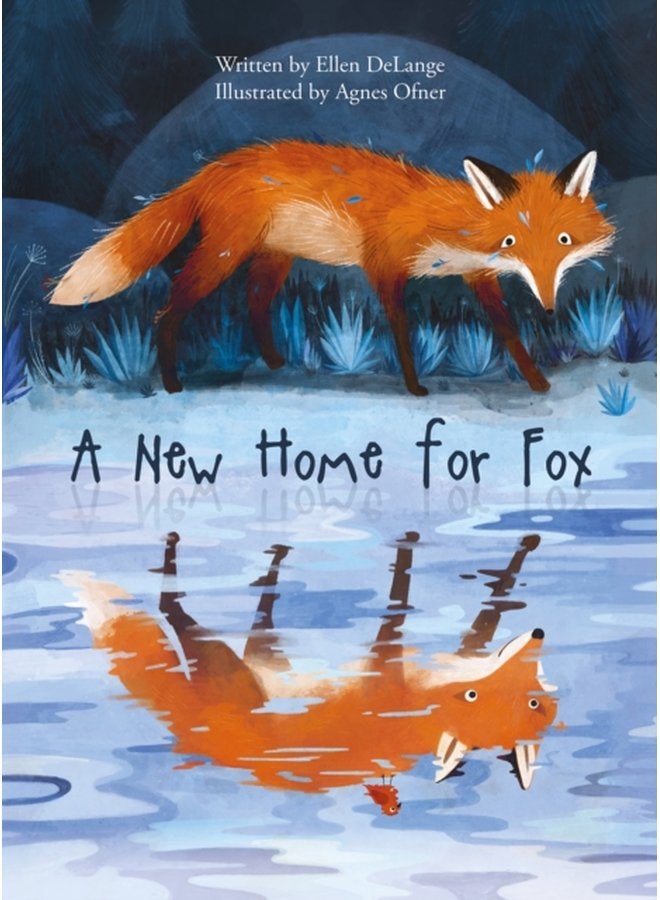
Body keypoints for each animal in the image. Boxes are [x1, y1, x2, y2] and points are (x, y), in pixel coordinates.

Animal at [49, 140, 614, 396]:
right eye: (513, 241)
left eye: (563, 242)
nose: (548, 306)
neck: (448, 221)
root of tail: (216, 167)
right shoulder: (384, 264)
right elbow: (402, 330)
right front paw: (415, 388)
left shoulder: (479, 277)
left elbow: (508, 332)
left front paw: (537, 382)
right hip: (223, 256)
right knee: (169, 312)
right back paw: (171, 383)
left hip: (273, 258)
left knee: (256, 304)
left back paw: (276, 363)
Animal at [56, 531, 557, 805]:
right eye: (535, 700)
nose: (538, 634)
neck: (421, 712)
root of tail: (193, 736)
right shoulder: (442, 654)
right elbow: (489, 601)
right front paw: (517, 558)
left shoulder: (388, 660)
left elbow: (400, 599)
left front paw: (408, 553)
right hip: (260, 655)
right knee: (260, 609)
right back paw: (273, 563)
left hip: (218, 656)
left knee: (170, 605)